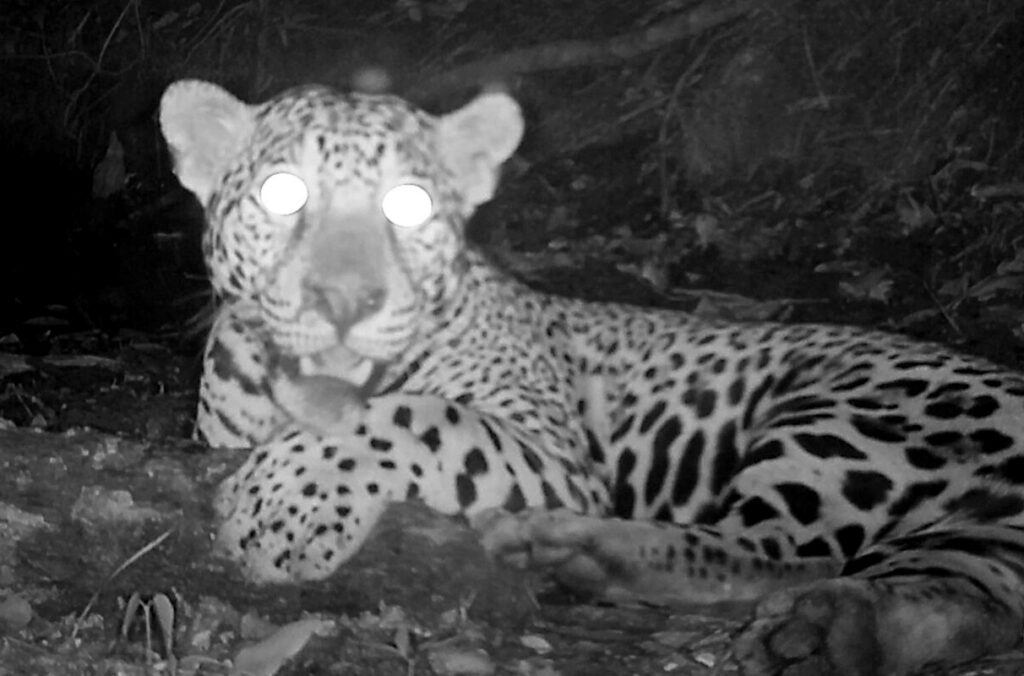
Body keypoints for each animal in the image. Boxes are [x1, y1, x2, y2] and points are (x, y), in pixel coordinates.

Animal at [160, 78, 1024, 676]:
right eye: (281, 194)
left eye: (410, 204)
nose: (344, 299)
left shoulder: (550, 453)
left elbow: (415, 414)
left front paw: (284, 502)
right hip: (968, 538)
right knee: (961, 603)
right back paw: (829, 633)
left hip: (840, 426)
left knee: (775, 549)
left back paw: (567, 546)